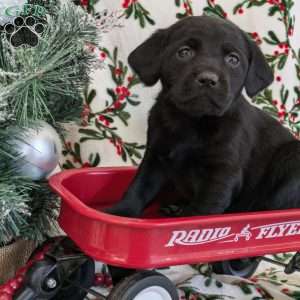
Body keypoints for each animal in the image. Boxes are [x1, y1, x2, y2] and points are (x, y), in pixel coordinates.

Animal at [106, 15, 300, 218]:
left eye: (233, 59)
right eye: (184, 52)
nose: (208, 79)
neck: (192, 121)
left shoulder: (222, 172)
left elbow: (201, 210)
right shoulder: (155, 157)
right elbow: (138, 188)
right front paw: (121, 212)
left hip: (292, 157)